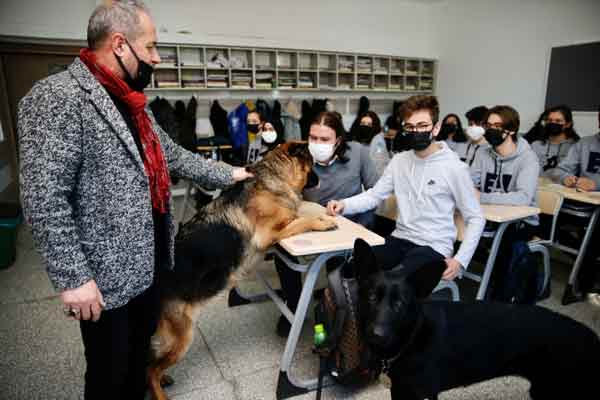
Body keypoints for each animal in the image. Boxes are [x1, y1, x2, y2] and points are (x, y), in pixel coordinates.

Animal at [147, 142, 338, 398]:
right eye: (312, 163)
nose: (320, 180)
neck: (274, 177)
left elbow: (298, 217)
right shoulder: (270, 233)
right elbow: (302, 220)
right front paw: (323, 221)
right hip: (182, 337)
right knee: (150, 369)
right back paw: (160, 392)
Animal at [352, 239, 600, 398]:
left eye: (400, 304)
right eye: (371, 296)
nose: (377, 335)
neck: (413, 336)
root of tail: (592, 337)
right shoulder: (402, 391)